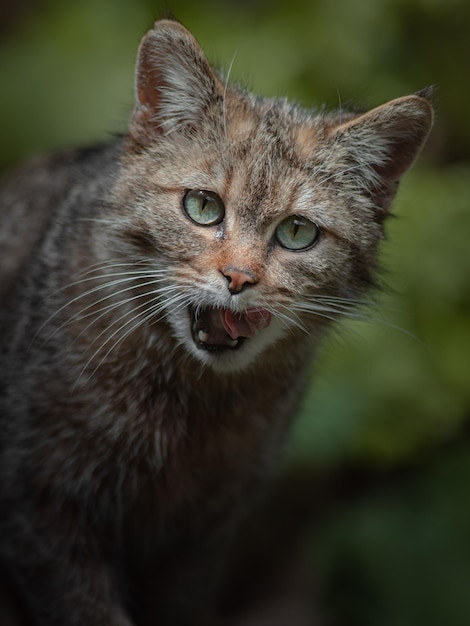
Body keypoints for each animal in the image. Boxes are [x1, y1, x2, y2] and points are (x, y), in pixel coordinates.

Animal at [0, 18, 434, 624]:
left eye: (296, 233)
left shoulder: (199, 541)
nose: (238, 277)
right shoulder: (43, 510)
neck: (189, 404)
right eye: (203, 207)